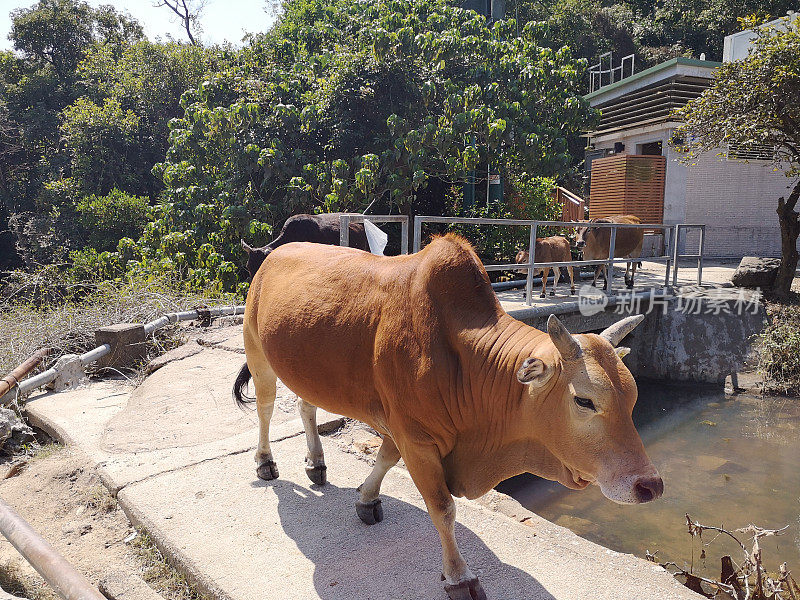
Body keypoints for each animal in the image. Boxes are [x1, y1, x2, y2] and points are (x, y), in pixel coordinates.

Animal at [236, 236, 664, 600]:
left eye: (633, 398)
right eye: (584, 401)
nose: (650, 486)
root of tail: (271, 254)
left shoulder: (402, 427)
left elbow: (385, 457)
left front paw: (366, 498)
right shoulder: (417, 438)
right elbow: (442, 508)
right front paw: (459, 576)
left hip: (303, 369)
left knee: (306, 406)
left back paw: (316, 462)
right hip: (256, 350)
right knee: (265, 407)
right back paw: (266, 462)